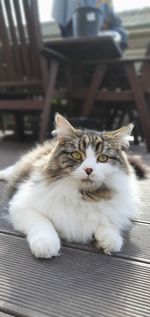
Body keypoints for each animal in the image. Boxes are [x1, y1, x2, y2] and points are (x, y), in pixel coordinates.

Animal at [0, 113, 139, 256]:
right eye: (76, 155)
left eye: (102, 158)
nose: (89, 170)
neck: (84, 195)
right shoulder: (22, 206)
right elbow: (43, 223)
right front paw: (46, 245)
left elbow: (108, 224)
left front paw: (110, 241)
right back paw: (3, 174)